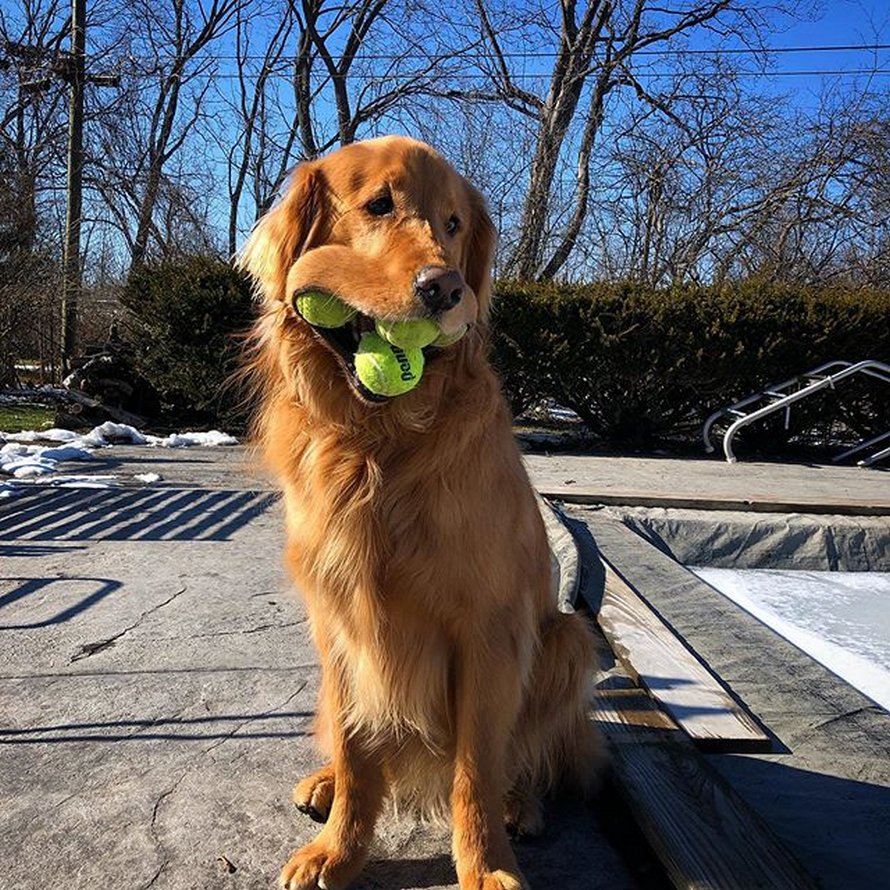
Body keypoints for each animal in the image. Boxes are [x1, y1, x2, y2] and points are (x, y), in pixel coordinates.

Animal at [238, 134, 596, 888]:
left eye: (454, 225)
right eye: (378, 204)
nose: (445, 288)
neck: (382, 446)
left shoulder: (487, 632)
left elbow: (475, 770)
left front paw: (485, 865)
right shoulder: (341, 623)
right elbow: (355, 749)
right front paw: (338, 848)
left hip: (566, 639)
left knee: (526, 759)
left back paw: (522, 805)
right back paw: (322, 784)